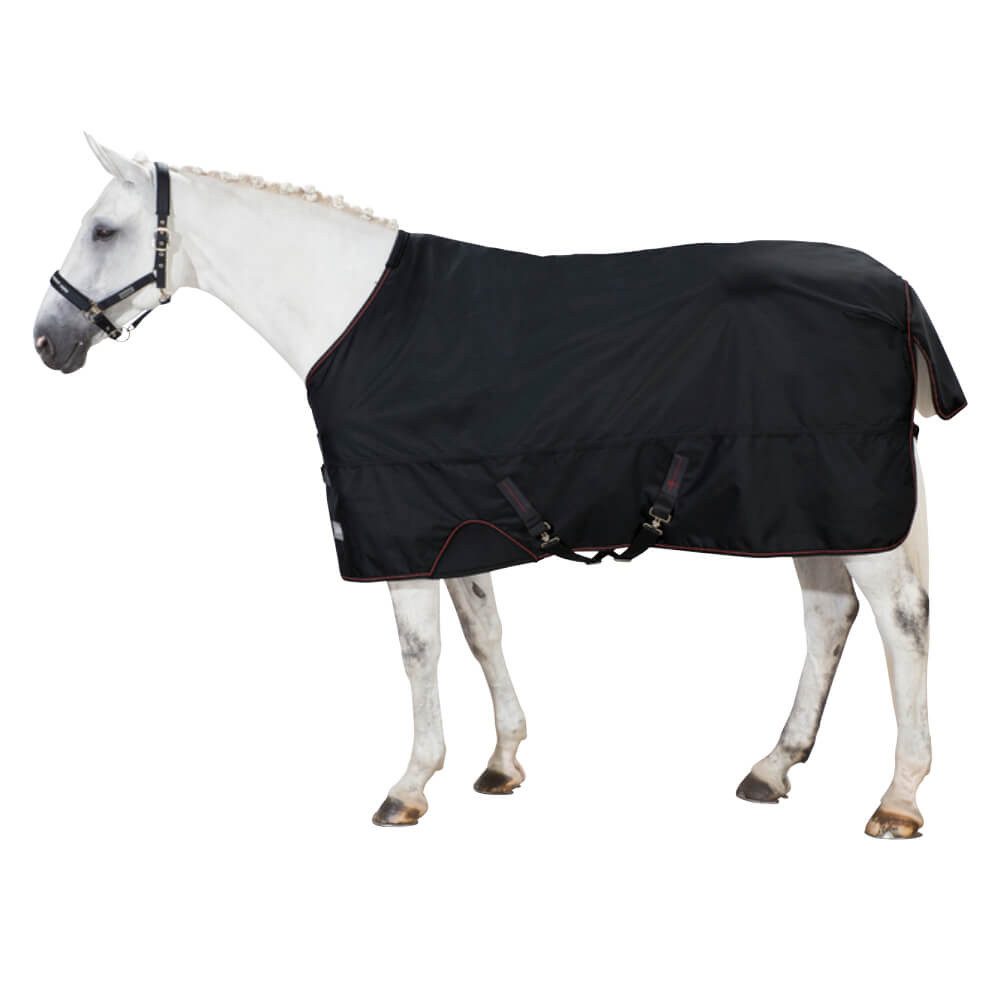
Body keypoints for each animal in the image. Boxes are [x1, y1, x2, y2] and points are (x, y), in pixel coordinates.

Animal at [33, 135, 964, 837]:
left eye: (106, 230)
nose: (48, 340)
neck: (355, 316)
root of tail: (895, 291)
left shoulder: (403, 533)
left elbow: (421, 651)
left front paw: (410, 783)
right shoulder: (456, 519)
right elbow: (483, 632)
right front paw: (502, 760)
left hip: (848, 505)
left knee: (901, 620)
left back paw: (899, 798)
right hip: (811, 507)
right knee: (829, 617)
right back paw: (774, 766)